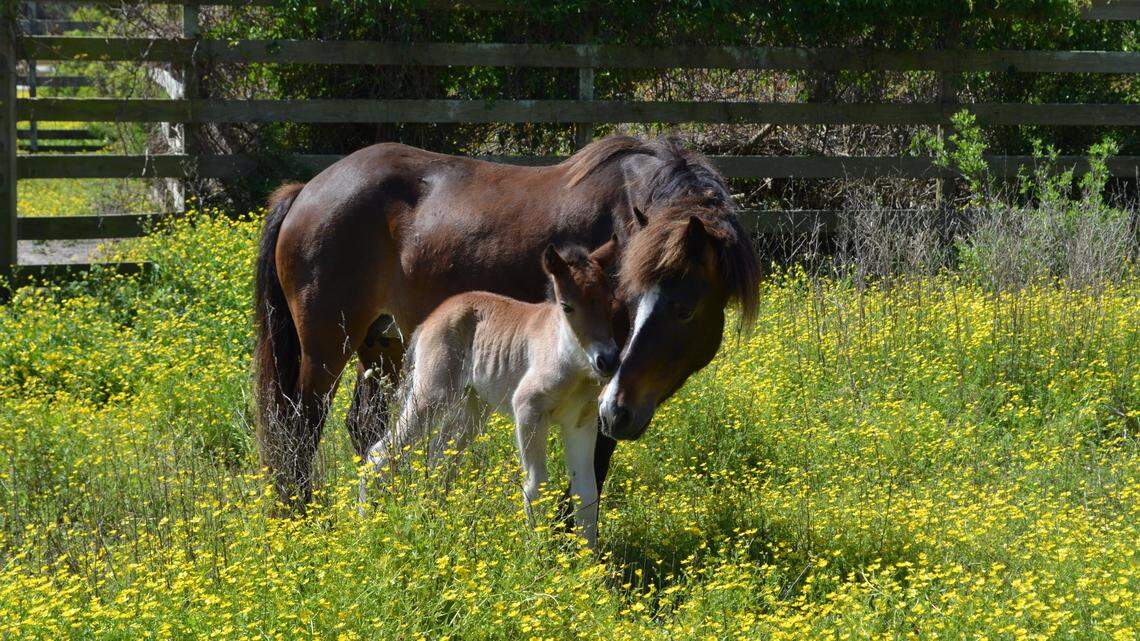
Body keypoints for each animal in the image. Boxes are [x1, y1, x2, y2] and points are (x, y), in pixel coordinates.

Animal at [253, 134, 759, 509]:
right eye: (629, 298)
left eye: (684, 309)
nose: (620, 412)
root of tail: (306, 190)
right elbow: (591, 468)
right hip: (326, 350)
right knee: (299, 428)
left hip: (384, 347)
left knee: (365, 428)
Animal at [362, 239, 620, 547]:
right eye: (567, 307)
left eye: (610, 301)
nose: (607, 361)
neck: (570, 360)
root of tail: (430, 320)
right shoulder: (527, 409)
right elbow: (536, 484)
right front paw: (538, 552)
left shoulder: (581, 422)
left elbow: (587, 491)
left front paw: (588, 557)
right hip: (431, 395)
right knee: (379, 451)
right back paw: (364, 522)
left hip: (473, 408)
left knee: (441, 459)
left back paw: (437, 520)